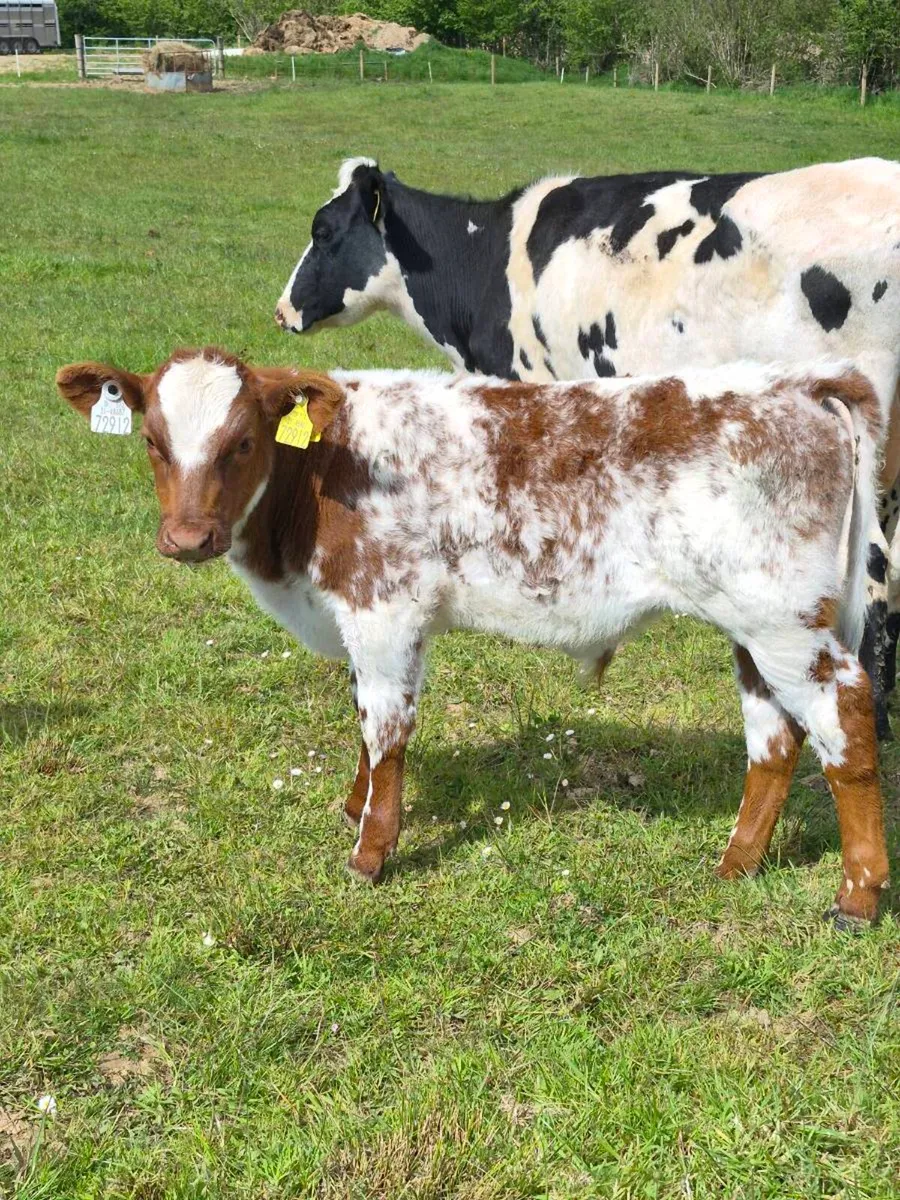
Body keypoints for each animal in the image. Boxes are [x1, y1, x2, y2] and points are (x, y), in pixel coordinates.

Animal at [56, 347, 890, 927]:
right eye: (153, 440)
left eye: (241, 442)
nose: (187, 537)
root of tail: (798, 383)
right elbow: (361, 718)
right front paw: (353, 803)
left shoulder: (384, 607)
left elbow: (385, 727)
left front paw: (370, 851)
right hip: (752, 628)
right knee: (775, 740)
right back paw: (736, 865)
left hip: (784, 621)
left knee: (845, 718)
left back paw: (857, 896)